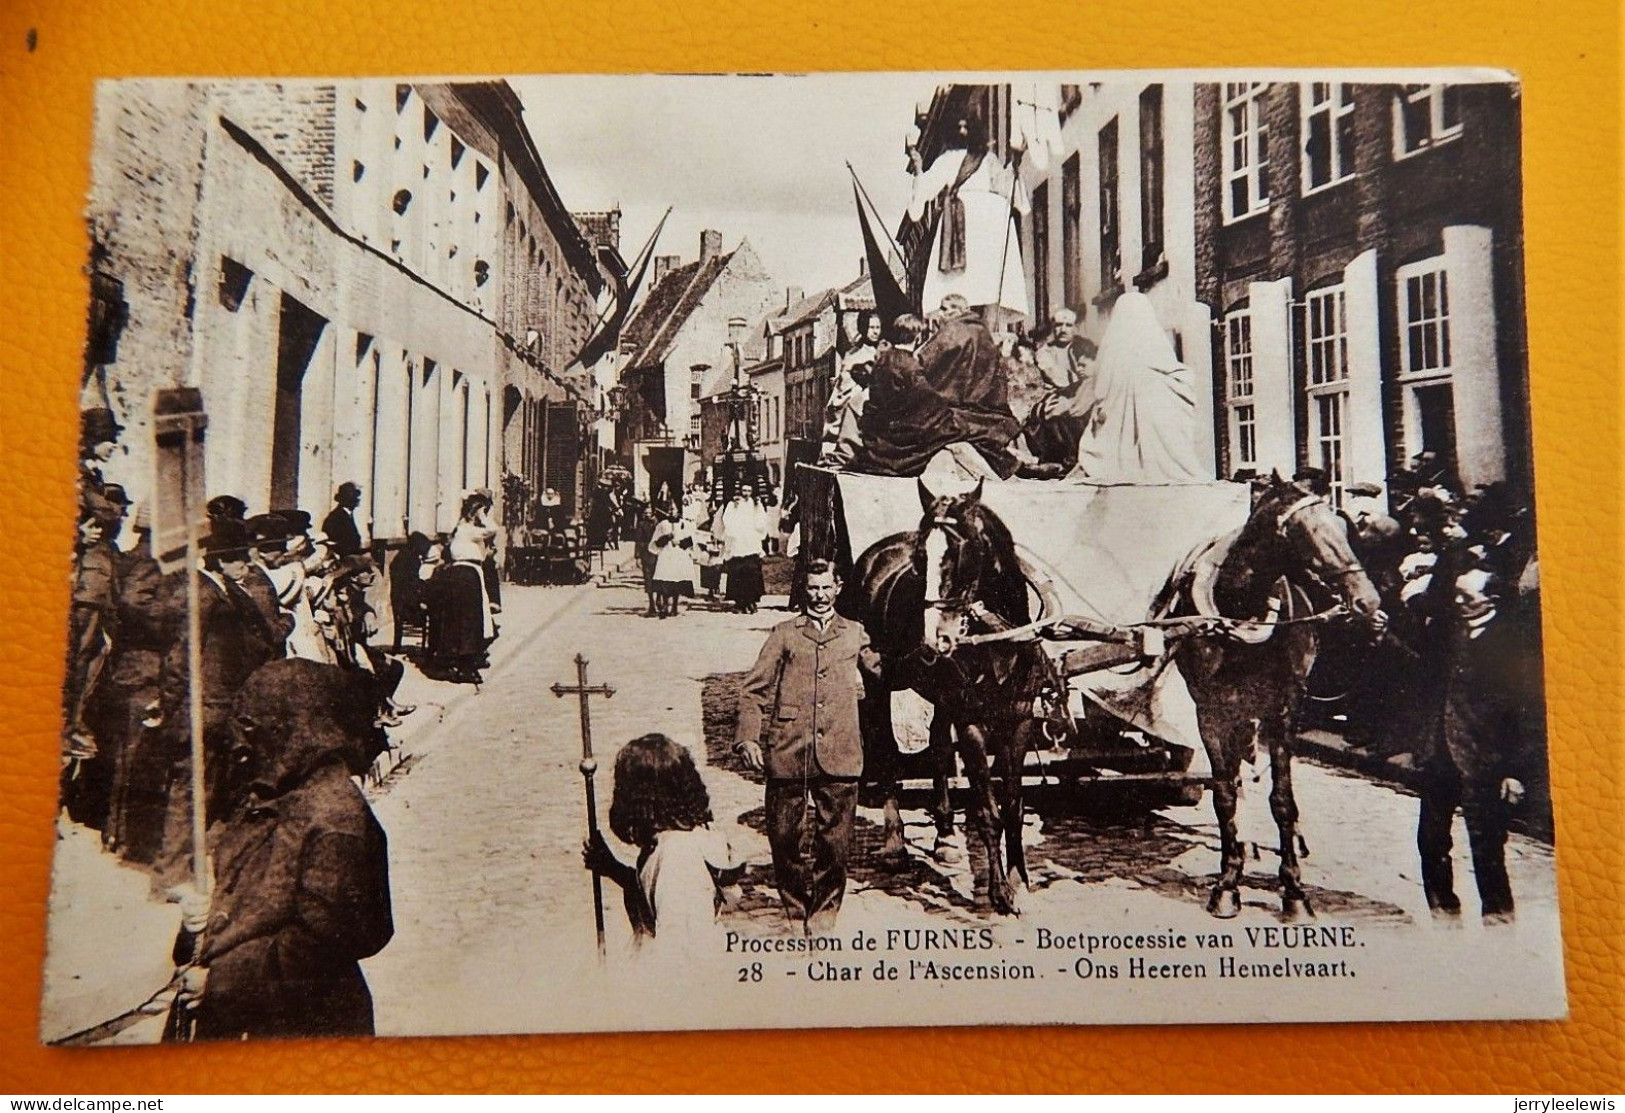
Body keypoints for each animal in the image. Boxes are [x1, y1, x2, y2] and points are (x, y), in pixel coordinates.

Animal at [838, 477, 1066, 909]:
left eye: (964, 551)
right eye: (921, 557)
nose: (933, 639)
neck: (997, 643)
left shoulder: (1019, 720)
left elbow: (1013, 805)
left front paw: (1019, 877)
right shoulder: (972, 724)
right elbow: (988, 811)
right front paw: (999, 891)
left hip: (941, 697)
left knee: (938, 744)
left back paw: (945, 835)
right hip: (877, 682)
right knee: (887, 752)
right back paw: (895, 844)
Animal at [1157, 474, 1384, 916]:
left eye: (1343, 526)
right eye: (1307, 533)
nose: (1370, 603)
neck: (1239, 611)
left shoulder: (1283, 711)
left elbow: (1282, 800)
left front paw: (1293, 889)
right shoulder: (1209, 713)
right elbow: (1224, 794)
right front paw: (1227, 883)